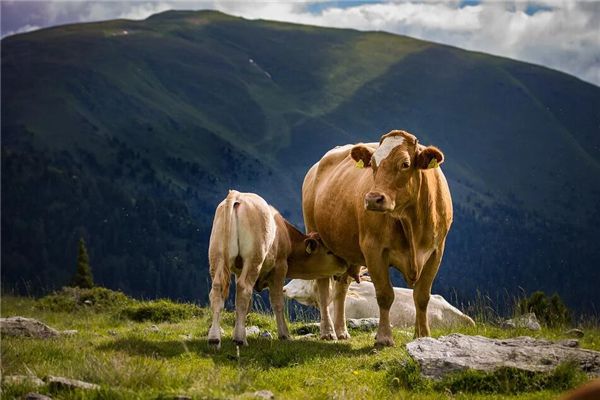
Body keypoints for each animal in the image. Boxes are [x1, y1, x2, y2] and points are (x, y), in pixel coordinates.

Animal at [209, 189, 344, 348]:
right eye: (329, 251)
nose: (345, 263)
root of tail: (237, 195)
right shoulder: (280, 267)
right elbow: (277, 302)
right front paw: (284, 334)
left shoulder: (238, 270)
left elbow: (246, 305)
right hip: (254, 258)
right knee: (244, 288)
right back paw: (240, 340)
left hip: (217, 256)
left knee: (217, 289)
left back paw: (214, 338)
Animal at [302, 130, 452, 346]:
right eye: (372, 164)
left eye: (405, 164)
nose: (373, 199)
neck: (411, 223)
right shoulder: (374, 249)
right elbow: (384, 294)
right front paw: (384, 337)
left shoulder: (436, 251)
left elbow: (422, 296)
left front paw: (423, 335)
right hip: (317, 238)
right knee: (323, 288)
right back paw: (328, 331)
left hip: (346, 251)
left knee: (341, 288)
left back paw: (341, 330)